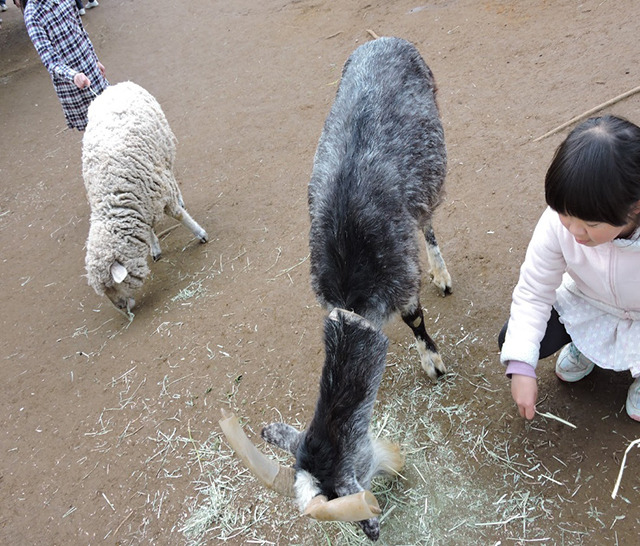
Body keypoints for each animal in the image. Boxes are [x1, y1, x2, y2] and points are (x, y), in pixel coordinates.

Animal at [82, 81, 208, 310]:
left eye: (111, 283)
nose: (121, 307)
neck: (112, 197)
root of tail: (111, 88)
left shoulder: (157, 188)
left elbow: (177, 215)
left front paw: (200, 233)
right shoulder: (140, 203)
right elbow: (148, 230)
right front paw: (155, 248)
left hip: (165, 151)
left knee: (171, 174)